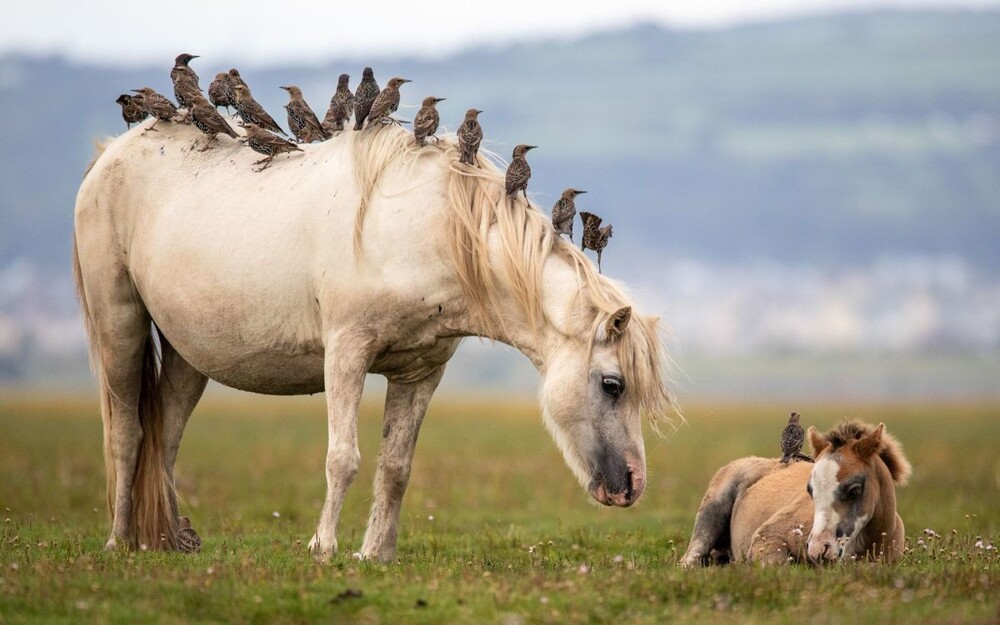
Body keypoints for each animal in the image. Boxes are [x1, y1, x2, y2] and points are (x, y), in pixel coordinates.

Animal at [76, 117, 672, 560]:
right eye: (613, 384)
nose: (632, 485)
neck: (433, 228)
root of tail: (110, 154)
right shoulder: (346, 354)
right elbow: (343, 457)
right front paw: (323, 547)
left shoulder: (420, 372)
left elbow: (395, 466)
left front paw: (375, 553)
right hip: (119, 327)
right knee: (127, 433)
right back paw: (119, 542)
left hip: (187, 355)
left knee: (168, 438)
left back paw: (169, 541)